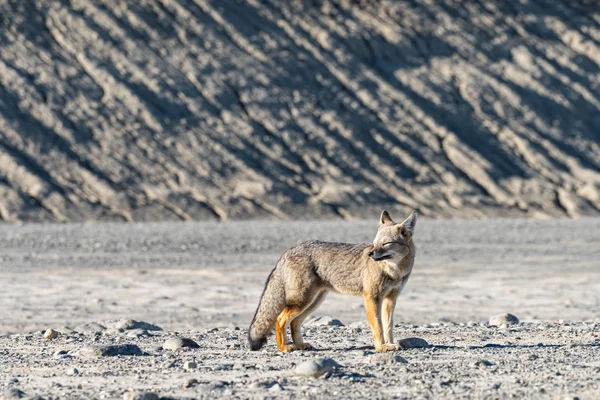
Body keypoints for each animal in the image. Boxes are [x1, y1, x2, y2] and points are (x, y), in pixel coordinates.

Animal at [246, 211, 414, 352]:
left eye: (385, 244)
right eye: (374, 243)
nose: (370, 254)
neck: (394, 271)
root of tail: (289, 251)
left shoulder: (391, 299)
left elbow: (388, 326)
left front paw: (390, 343)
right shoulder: (371, 298)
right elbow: (378, 327)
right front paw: (381, 347)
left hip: (314, 301)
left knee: (294, 322)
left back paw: (300, 345)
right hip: (302, 301)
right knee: (280, 319)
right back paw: (284, 347)